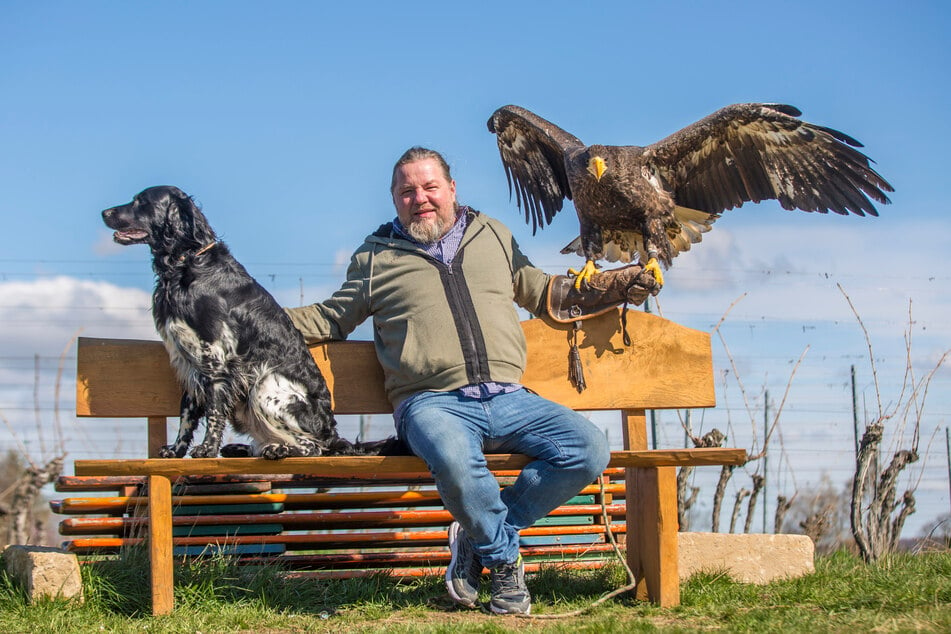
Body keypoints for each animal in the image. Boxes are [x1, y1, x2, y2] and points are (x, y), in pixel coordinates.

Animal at [99, 185, 390, 456]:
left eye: (141, 202)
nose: (104, 213)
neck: (188, 262)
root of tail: (332, 434)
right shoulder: (188, 362)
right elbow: (187, 414)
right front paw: (176, 450)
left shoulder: (214, 356)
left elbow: (214, 412)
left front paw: (206, 450)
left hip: (264, 385)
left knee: (312, 447)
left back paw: (279, 450)